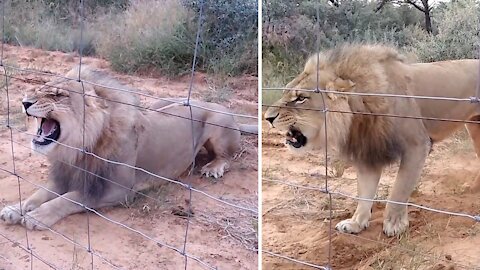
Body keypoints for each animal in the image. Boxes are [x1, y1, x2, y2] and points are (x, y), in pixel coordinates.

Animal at [1, 65, 256, 230]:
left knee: (226, 156)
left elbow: (71, 198)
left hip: (218, 125)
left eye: (57, 95)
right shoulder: (66, 176)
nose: (25, 102)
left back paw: (213, 167)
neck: (79, 147)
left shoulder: (117, 190)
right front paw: (15, 209)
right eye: (41, 88)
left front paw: (38, 216)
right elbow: (39, 193)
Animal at [264, 44, 480, 236]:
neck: (358, 115)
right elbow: (365, 193)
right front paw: (355, 224)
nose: (268, 117)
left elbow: (399, 189)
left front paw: (394, 224)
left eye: (300, 98)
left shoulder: (416, 145)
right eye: (285, 93)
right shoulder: (367, 151)